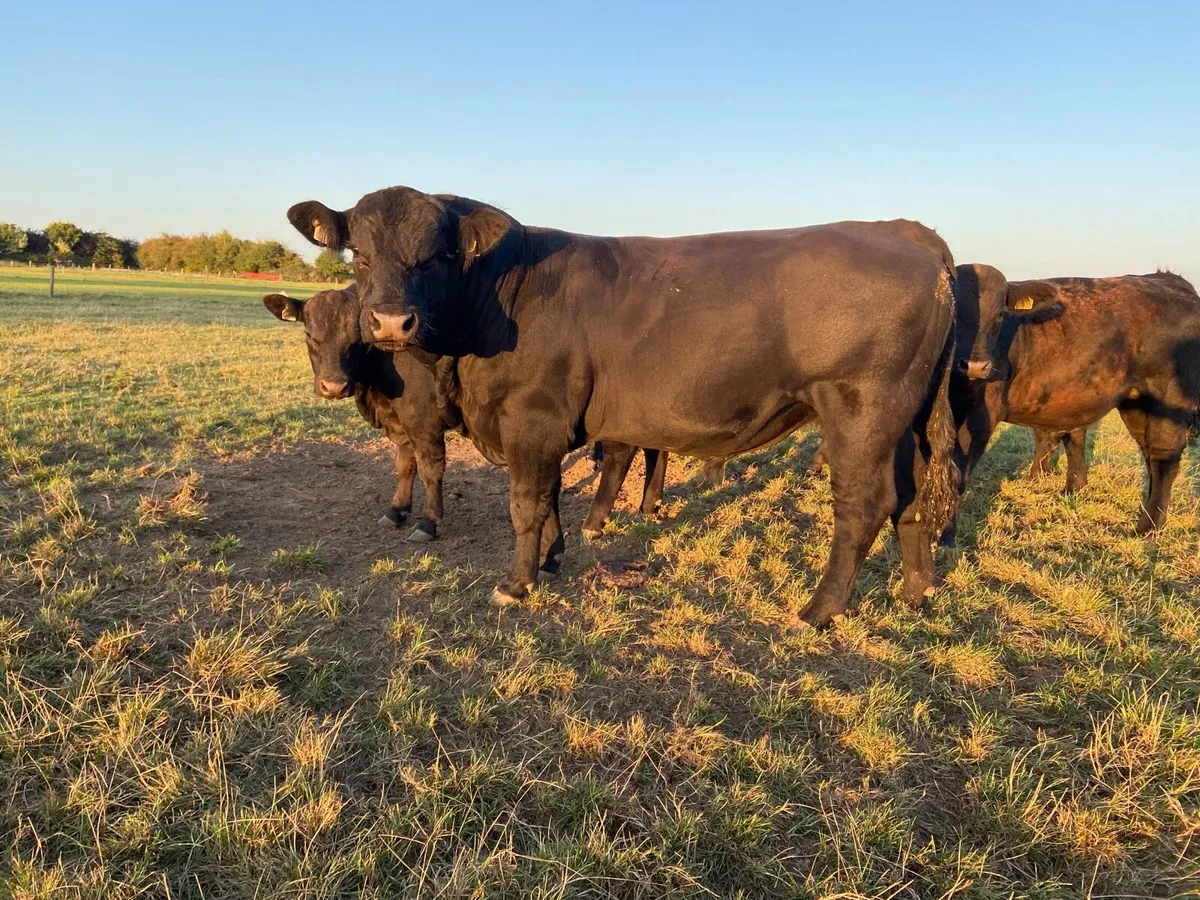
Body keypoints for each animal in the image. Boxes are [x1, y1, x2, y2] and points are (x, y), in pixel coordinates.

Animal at [284, 187, 960, 628]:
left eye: (438, 255)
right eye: (360, 255)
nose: (390, 322)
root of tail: (906, 231)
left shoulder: (530, 419)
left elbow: (525, 505)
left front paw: (516, 583)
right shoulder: (545, 430)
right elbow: (551, 498)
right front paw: (553, 560)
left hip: (861, 411)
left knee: (864, 506)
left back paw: (817, 611)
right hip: (907, 420)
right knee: (911, 496)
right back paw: (915, 592)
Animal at [953, 266, 1200, 534]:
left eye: (999, 315)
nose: (975, 365)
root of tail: (1168, 279)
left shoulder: (980, 414)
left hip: (1167, 398)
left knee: (1163, 457)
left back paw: (1148, 526)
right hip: (1134, 403)